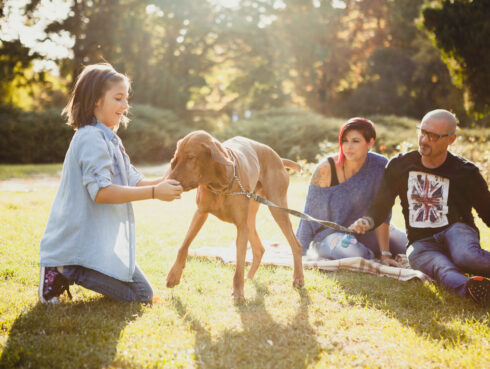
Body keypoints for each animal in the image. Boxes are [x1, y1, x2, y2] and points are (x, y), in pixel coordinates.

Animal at [167, 131, 304, 298]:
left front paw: (238, 292)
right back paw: (249, 277)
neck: (219, 185)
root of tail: (278, 157)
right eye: (176, 157)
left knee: (295, 244)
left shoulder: (241, 226)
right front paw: (174, 275)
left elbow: (239, 264)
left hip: (277, 208)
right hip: (252, 215)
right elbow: (183, 246)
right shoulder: (200, 213)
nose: (169, 180)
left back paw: (298, 279)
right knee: (259, 249)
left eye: (191, 157)